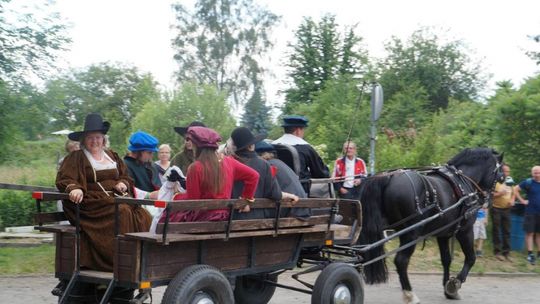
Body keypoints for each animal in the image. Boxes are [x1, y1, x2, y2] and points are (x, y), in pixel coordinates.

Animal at [356, 147, 504, 302]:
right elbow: (471, 258)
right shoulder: (465, 230)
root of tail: (388, 178)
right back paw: (410, 294)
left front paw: (447, 288)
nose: (489, 202)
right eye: (500, 177)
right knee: (401, 261)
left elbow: (446, 259)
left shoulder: (443, 234)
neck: (463, 183)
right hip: (411, 233)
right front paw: (454, 284)